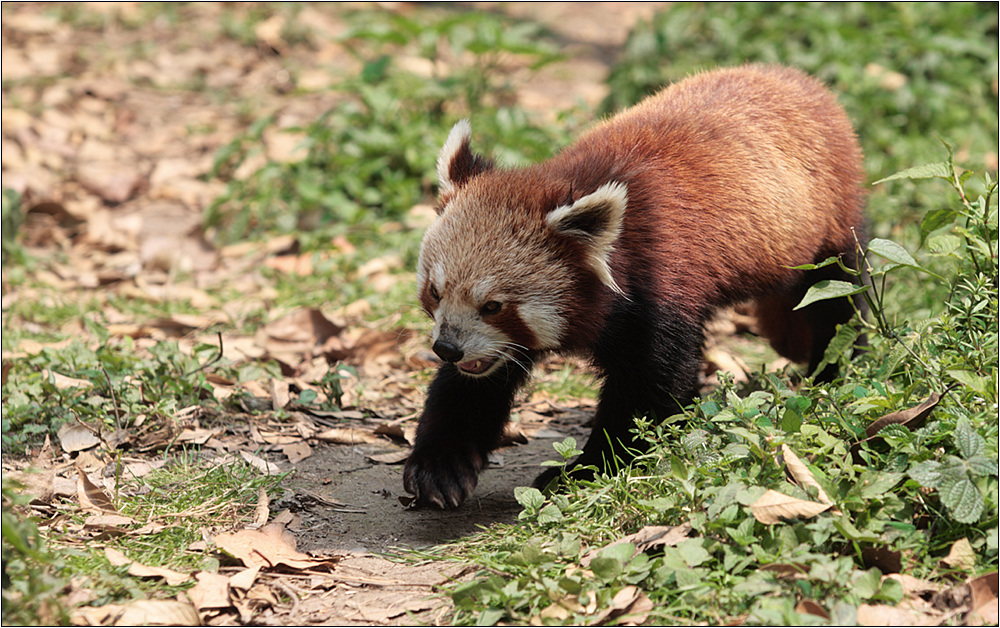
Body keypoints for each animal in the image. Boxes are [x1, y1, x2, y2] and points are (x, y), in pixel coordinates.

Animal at [404, 63, 868, 508]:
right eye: (435, 292)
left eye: (493, 306)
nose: (447, 348)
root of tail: (796, 79)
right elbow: (473, 388)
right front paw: (439, 466)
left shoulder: (661, 280)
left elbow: (648, 388)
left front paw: (585, 469)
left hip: (829, 223)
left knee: (837, 303)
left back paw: (834, 369)